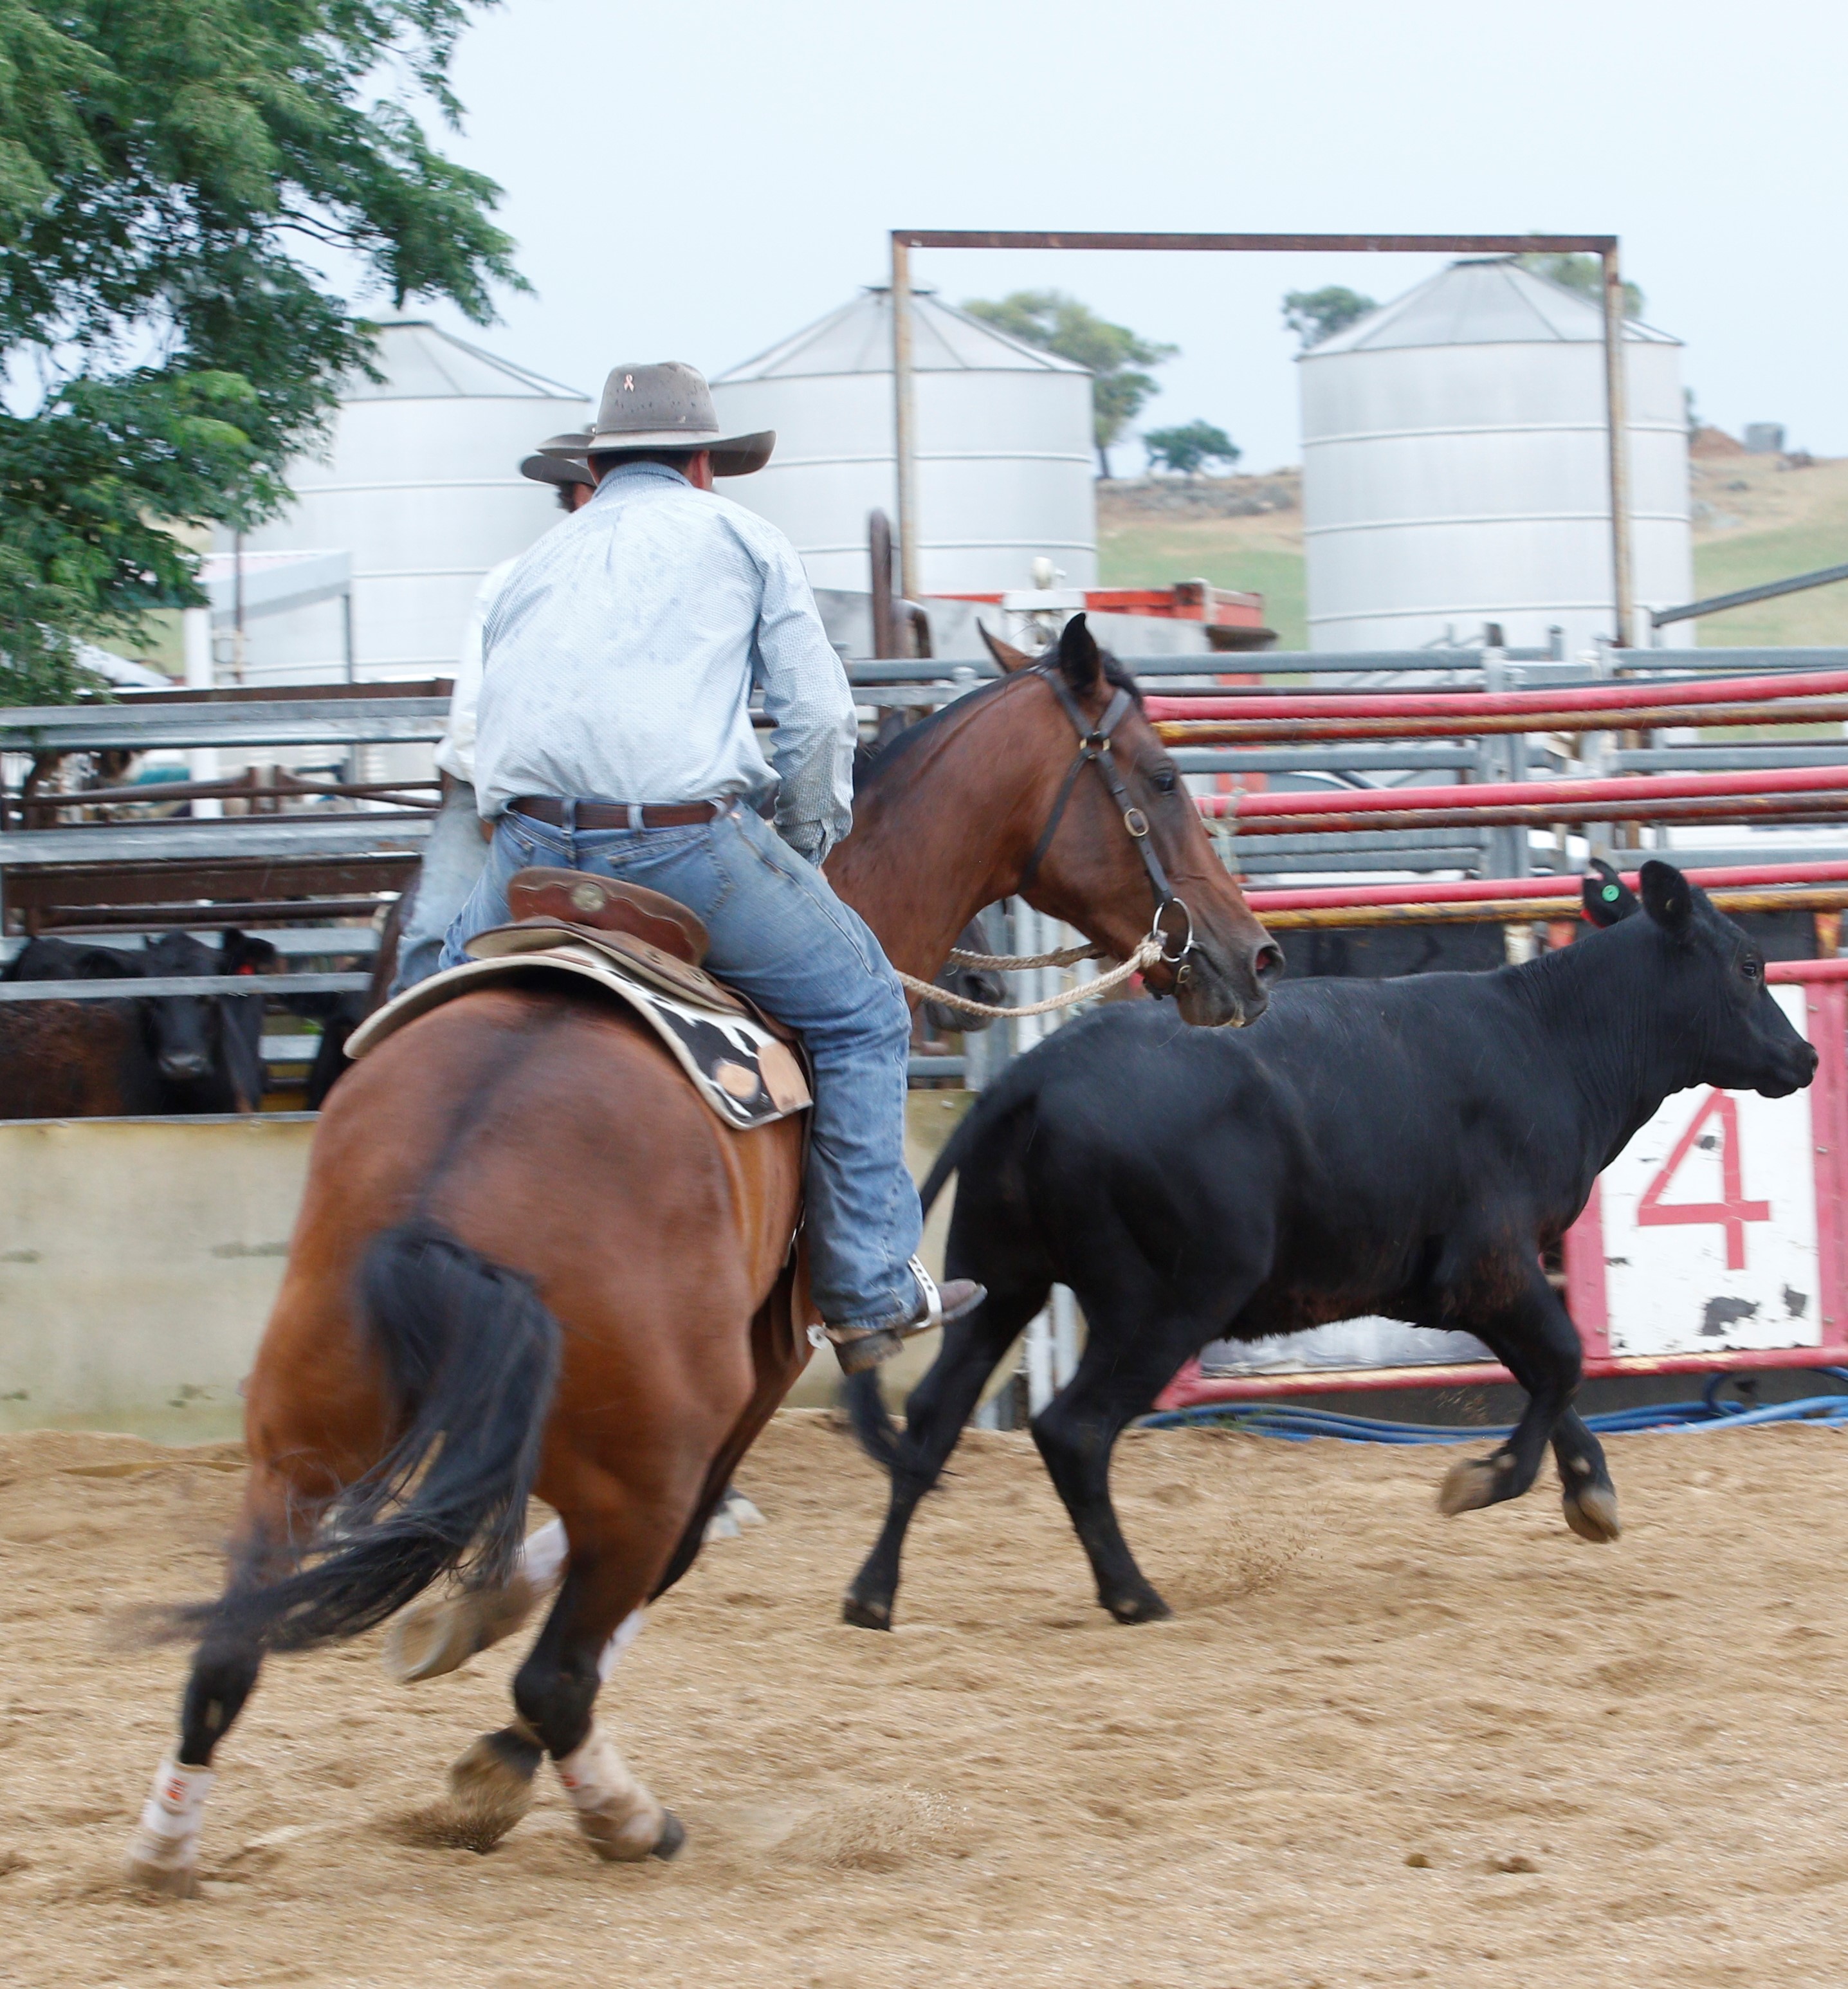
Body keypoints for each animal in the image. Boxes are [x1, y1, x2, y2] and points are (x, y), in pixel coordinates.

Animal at [124, 613, 1280, 1892]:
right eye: (1161, 777)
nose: (1251, 955)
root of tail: (448, 1195)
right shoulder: (758, 1378)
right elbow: (638, 1584)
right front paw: (486, 1717)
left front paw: (460, 1620)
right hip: (652, 1445)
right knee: (566, 1664)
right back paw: (618, 1813)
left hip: (297, 1449)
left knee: (227, 1654)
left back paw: (169, 1845)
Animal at [842, 861, 1819, 1630]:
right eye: (1747, 963)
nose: (1805, 1057)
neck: (1547, 1038)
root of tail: (1033, 1075)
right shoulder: (1492, 1265)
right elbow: (1564, 1364)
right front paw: (1486, 1479)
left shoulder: (1464, 1285)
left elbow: (1552, 1374)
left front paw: (1589, 1493)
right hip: (1165, 1301)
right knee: (1074, 1429)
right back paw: (1132, 1594)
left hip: (1001, 1279)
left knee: (930, 1421)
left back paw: (873, 1596)